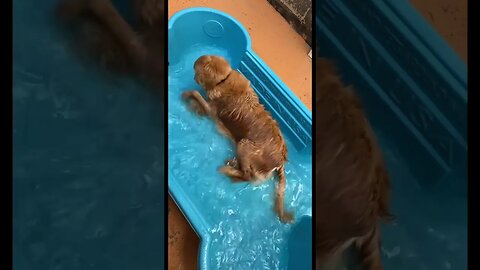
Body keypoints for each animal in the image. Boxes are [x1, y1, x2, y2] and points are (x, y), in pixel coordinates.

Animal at [181, 55, 292, 224]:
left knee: (248, 176)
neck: (224, 80)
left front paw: (188, 95)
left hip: (244, 144)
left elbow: (196, 94)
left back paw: (227, 170)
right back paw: (232, 164)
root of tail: (281, 161)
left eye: (196, 70)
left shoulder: (211, 110)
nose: (194, 77)